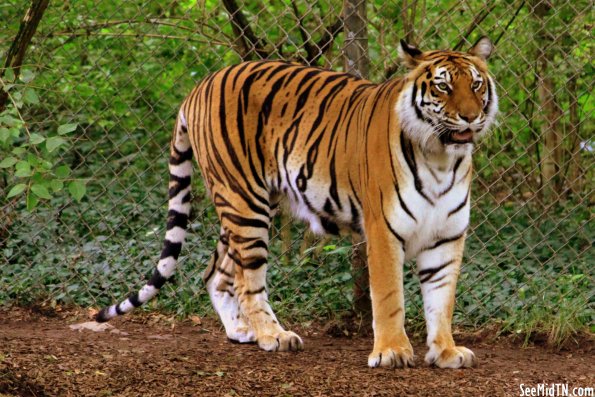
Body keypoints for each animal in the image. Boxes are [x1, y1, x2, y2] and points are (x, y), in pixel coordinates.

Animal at [96, 37, 498, 368]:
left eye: (476, 84)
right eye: (443, 86)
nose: (470, 116)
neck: (442, 159)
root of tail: (200, 85)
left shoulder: (447, 235)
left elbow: (441, 300)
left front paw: (446, 352)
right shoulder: (384, 231)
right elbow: (388, 297)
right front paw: (391, 352)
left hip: (249, 204)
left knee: (216, 271)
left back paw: (242, 331)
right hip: (245, 203)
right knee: (247, 279)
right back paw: (273, 336)